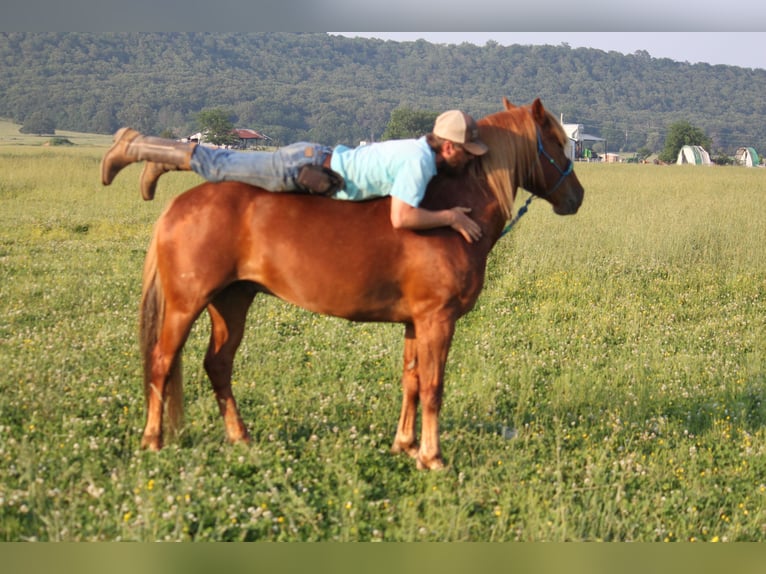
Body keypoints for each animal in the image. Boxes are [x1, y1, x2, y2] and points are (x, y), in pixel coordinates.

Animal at [138, 99, 584, 472]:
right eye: (558, 144)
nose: (577, 196)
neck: (450, 213)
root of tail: (178, 206)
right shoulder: (438, 320)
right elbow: (433, 387)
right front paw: (432, 457)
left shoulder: (415, 323)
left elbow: (411, 381)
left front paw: (405, 445)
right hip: (187, 304)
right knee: (161, 362)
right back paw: (153, 441)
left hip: (231, 302)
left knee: (218, 365)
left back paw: (239, 437)